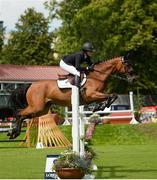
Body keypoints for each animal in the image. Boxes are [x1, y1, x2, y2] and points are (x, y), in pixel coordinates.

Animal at [8, 55, 136, 139]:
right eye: (127, 64)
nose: (133, 78)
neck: (97, 76)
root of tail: (31, 85)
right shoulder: (91, 95)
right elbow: (111, 95)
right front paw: (101, 106)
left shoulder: (96, 96)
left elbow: (111, 96)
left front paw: (100, 106)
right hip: (36, 107)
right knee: (19, 113)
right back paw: (13, 132)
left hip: (41, 109)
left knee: (23, 115)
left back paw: (14, 132)